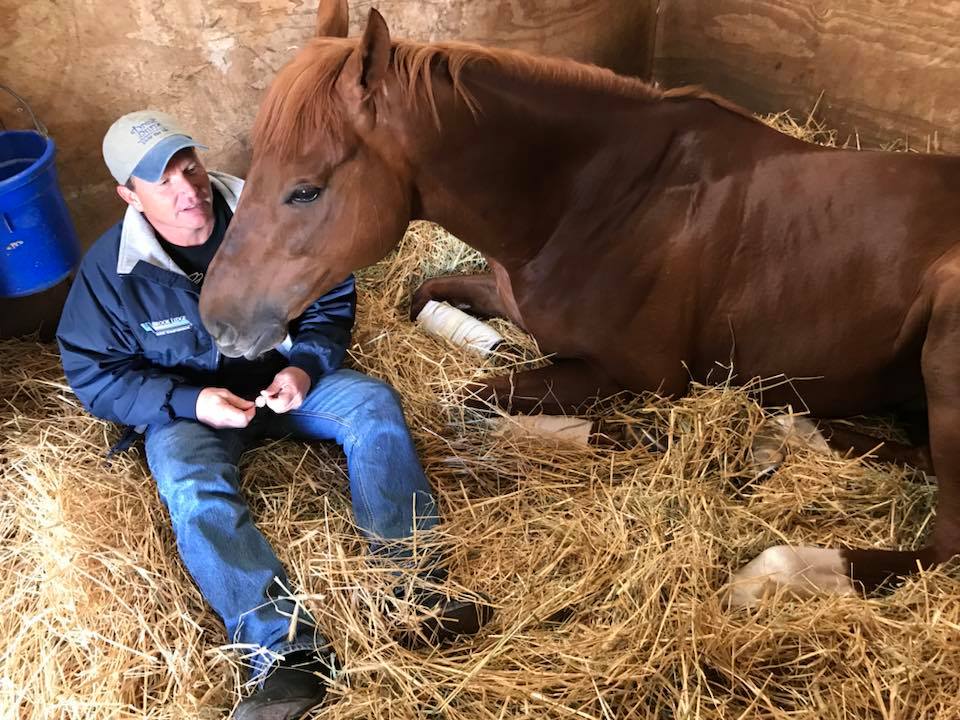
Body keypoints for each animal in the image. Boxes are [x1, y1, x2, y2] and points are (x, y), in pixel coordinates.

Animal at [201, 1, 960, 608]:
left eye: (307, 189)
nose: (218, 321)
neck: (598, 194)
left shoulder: (644, 377)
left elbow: (473, 403)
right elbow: (431, 303)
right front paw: (480, 339)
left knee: (945, 544)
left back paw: (772, 570)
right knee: (910, 452)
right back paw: (783, 434)